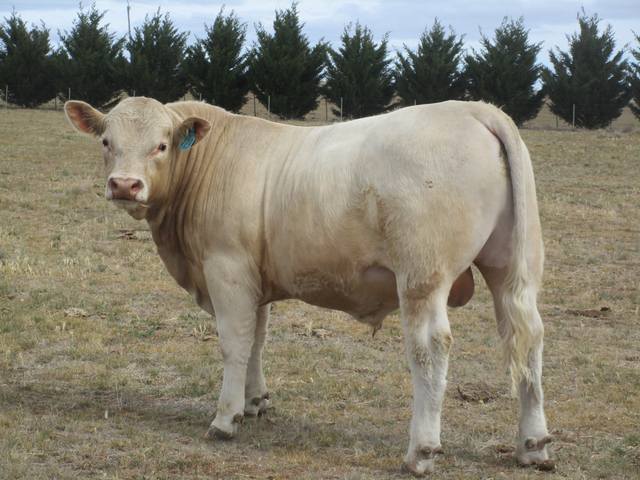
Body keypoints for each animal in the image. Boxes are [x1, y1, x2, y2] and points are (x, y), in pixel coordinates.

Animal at [64, 97, 552, 475]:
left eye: (162, 145)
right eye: (106, 142)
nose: (125, 185)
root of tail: (472, 108)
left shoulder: (227, 269)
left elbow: (234, 342)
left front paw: (225, 418)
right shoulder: (255, 278)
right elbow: (257, 338)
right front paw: (255, 401)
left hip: (421, 276)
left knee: (430, 348)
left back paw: (421, 452)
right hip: (512, 269)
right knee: (528, 339)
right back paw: (533, 446)